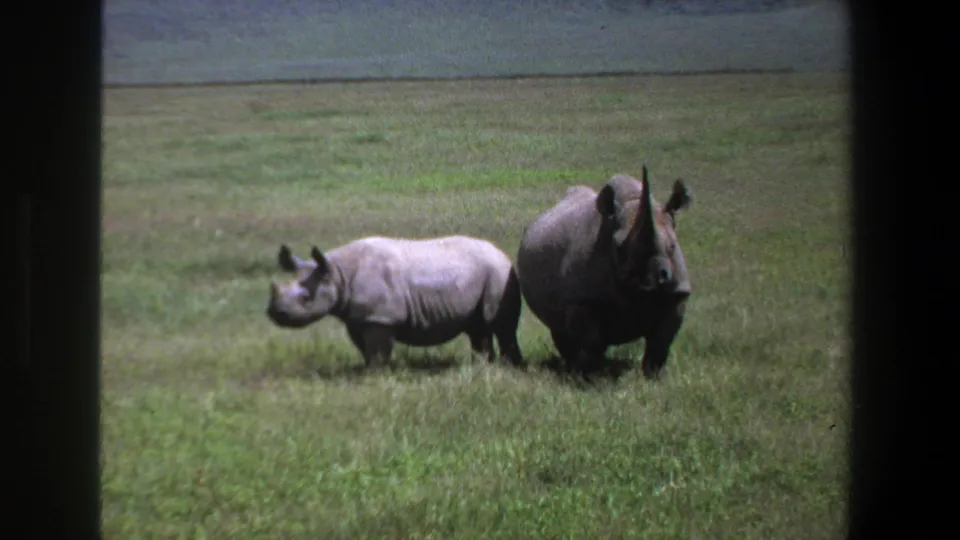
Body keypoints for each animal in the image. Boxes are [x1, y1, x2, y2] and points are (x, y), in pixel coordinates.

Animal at [265, 235, 524, 369]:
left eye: (305, 299)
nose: (275, 313)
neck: (337, 273)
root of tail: (502, 252)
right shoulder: (359, 317)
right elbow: (364, 347)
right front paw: (369, 370)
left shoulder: (380, 316)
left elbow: (378, 349)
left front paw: (376, 375)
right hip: (484, 274)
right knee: (478, 327)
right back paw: (483, 366)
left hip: (499, 273)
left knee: (501, 325)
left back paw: (510, 367)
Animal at [515, 164, 693, 379]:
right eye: (618, 248)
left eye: (673, 246)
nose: (651, 282)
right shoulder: (582, 298)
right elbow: (591, 341)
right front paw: (592, 377)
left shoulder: (677, 293)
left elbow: (661, 341)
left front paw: (653, 377)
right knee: (560, 327)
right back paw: (573, 367)